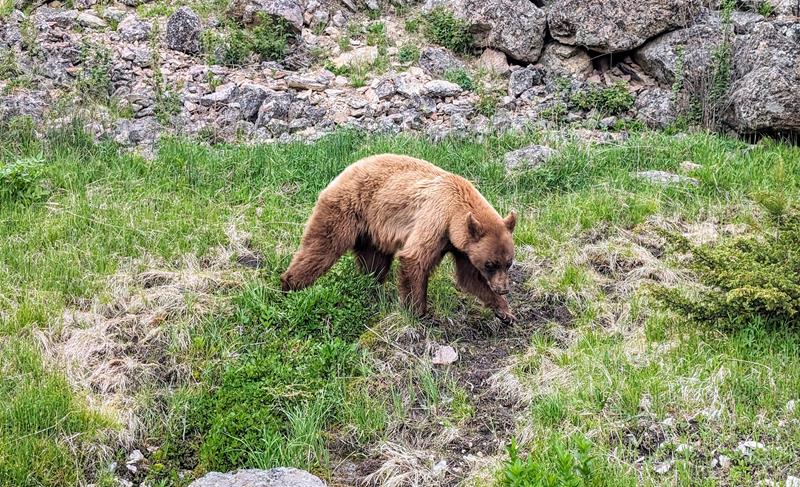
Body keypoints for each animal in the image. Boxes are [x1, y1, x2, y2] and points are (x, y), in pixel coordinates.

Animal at [282, 154, 520, 322]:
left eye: (508, 263)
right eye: (490, 264)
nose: (503, 288)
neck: (455, 212)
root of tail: (345, 169)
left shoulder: (461, 246)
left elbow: (468, 277)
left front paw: (505, 311)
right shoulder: (435, 219)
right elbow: (415, 259)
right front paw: (419, 312)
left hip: (372, 232)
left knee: (374, 264)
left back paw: (371, 289)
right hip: (345, 209)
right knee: (322, 248)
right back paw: (290, 285)